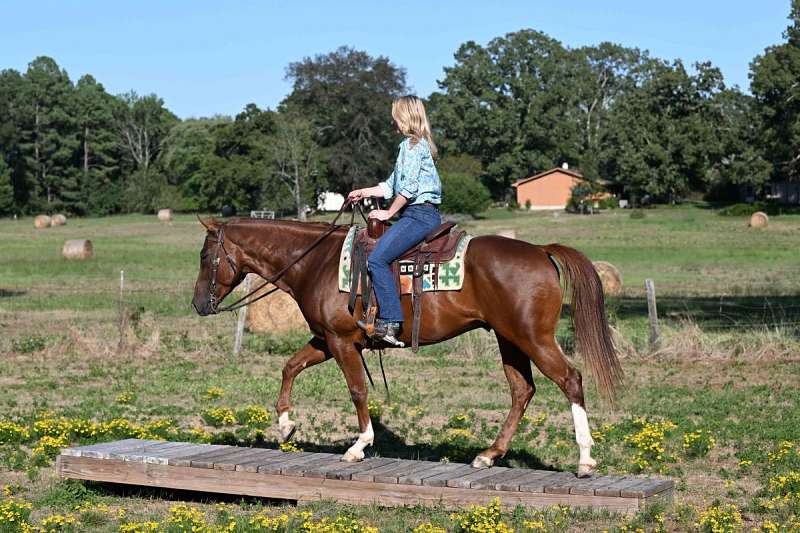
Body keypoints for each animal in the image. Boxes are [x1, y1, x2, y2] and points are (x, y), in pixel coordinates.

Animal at [191, 214, 623, 477]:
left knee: (570, 379)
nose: (198, 304)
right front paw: (285, 424)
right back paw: (488, 454)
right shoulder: (326, 339)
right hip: (509, 339)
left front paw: (359, 445)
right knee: (522, 390)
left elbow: (357, 390)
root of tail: (540, 251)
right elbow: (290, 366)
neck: (317, 262)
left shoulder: (341, 341)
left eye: (204, 256)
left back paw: (585, 459)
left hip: (532, 337)